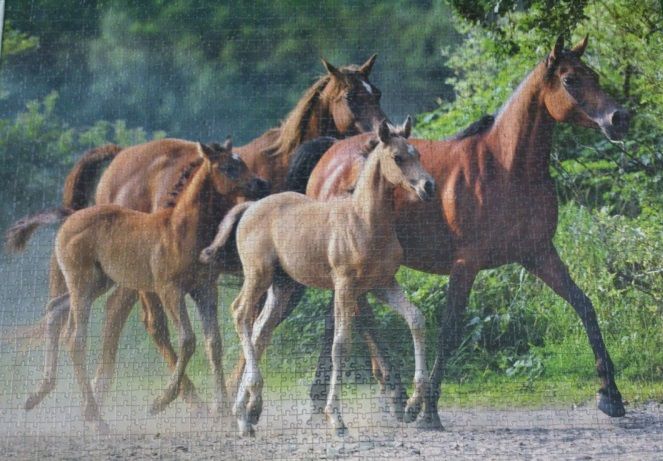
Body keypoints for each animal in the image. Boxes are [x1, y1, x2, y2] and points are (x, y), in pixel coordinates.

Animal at [31, 55, 390, 408]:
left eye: (377, 93)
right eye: (350, 97)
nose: (379, 136)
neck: (286, 166)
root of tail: (120, 157)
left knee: (119, 315)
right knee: (141, 320)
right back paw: (167, 395)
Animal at [250, 36, 632, 428]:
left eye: (594, 75)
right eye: (570, 79)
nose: (620, 118)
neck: (507, 167)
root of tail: (331, 152)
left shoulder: (538, 254)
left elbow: (584, 305)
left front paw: (610, 395)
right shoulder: (466, 264)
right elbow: (449, 331)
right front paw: (429, 409)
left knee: (348, 317)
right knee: (360, 316)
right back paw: (394, 395)